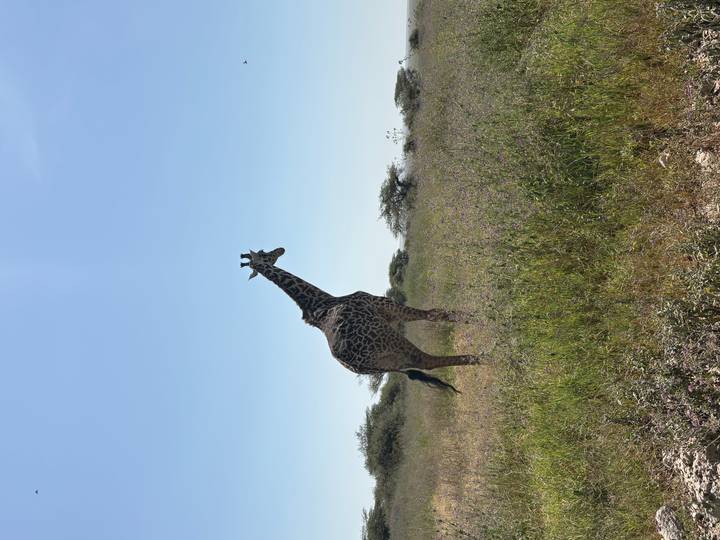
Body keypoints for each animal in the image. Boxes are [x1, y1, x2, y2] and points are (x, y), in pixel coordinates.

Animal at [240, 248, 482, 391]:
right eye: (265, 253)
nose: (280, 249)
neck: (322, 303)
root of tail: (355, 364)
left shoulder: (391, 319)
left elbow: (436, 314)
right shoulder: (388, 308)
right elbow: (435, 313)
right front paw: (478, 317)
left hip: (388, 362)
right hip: (391, 341)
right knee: (427, 360)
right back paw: (482, 358)